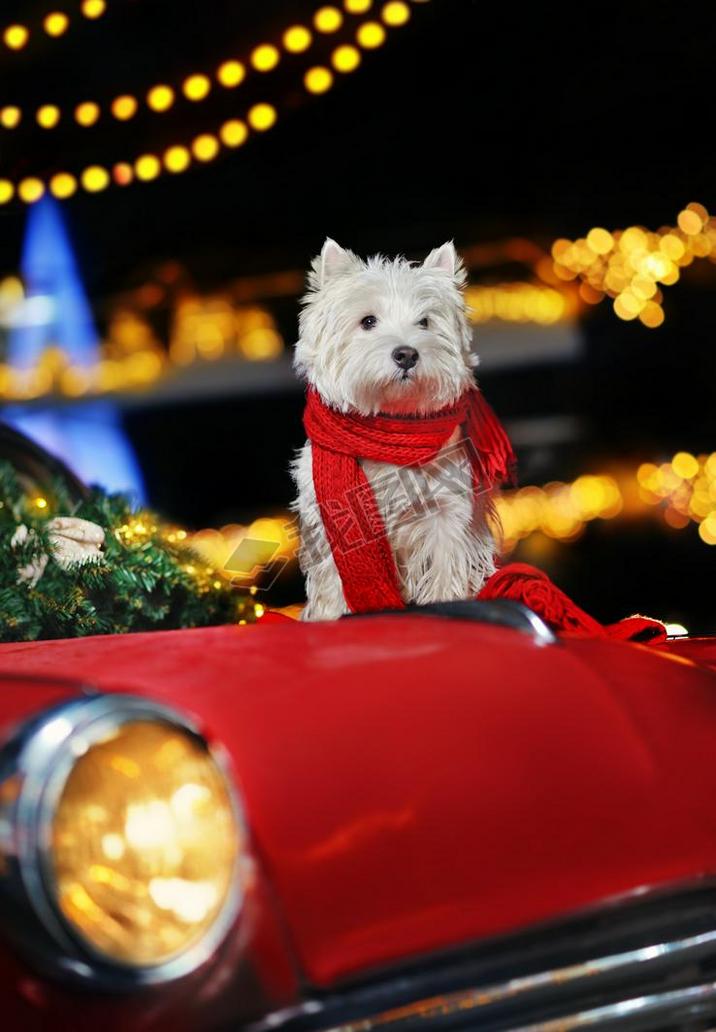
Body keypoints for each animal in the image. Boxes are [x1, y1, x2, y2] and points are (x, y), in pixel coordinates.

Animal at [290, 241, 505, 619]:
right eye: (368, 321)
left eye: (425, 322)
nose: (406, 354)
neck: (391, 427)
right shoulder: (335, 522)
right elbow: (333, 579)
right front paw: (329, 617)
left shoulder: (446, 514)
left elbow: (446, 566)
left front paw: (448, 605)